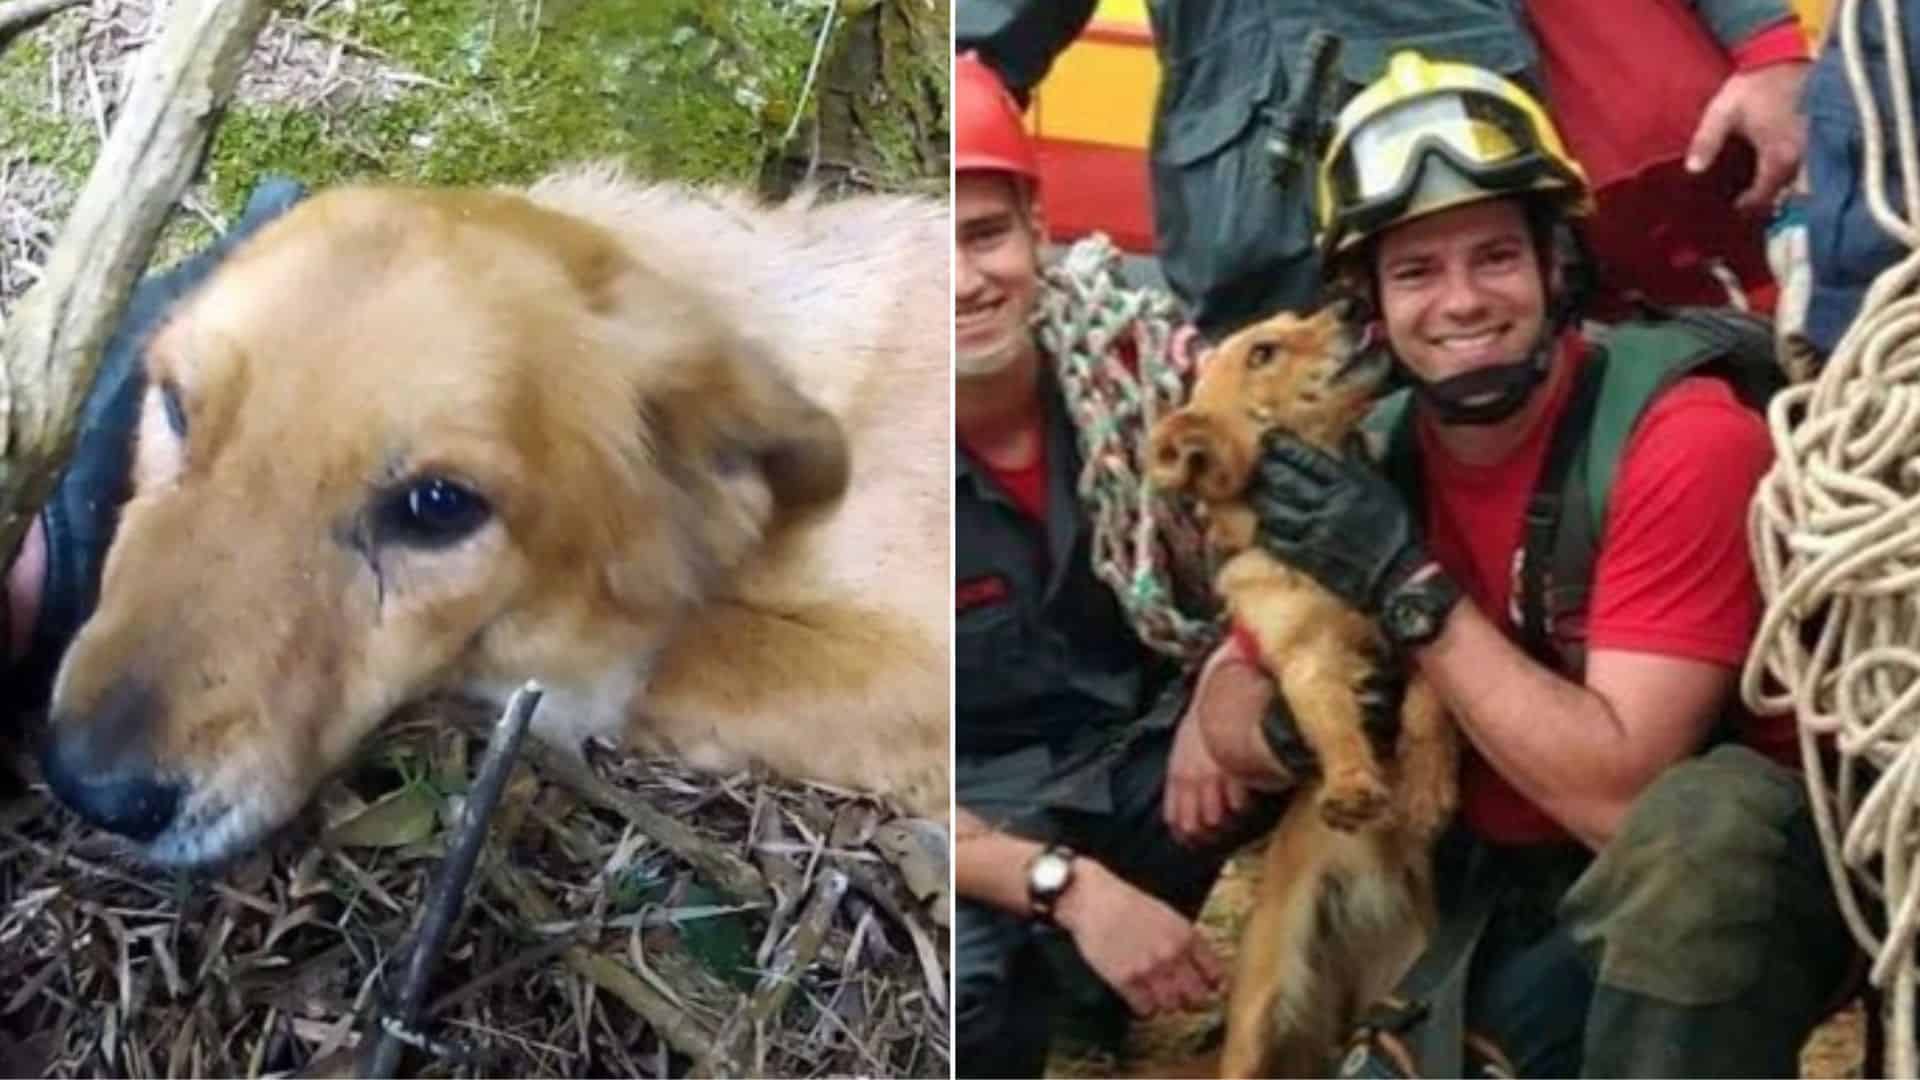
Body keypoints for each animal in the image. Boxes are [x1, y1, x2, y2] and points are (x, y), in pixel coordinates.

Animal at [1136, 305, 1451, 1076]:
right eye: (1263, 352)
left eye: (1295, 318)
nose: (1350, 306)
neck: (1323, 572)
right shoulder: (1302, 661)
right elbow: (1330, 719)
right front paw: (1352, 784)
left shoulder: (1408, 618)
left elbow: (1429, 705)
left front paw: (1428, 785)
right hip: (1257, 1017)